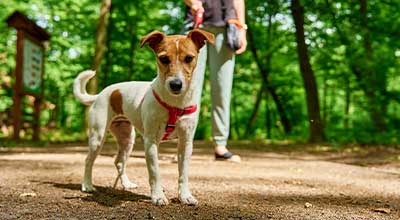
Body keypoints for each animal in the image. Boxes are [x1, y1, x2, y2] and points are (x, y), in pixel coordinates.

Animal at [72, 29, 216, 206]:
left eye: (189, 58)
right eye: (163, 58)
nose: (176, 84)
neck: (175, 104)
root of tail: (100, 95)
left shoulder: (186, 143)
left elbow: (183, 174)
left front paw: (185, 196)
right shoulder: (151, 142)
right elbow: (155, 173)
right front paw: (158, 196)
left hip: (127, 140)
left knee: (119, 162)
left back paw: (126, 184)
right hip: (97, 138)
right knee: (88, 161)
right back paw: (87, 185)